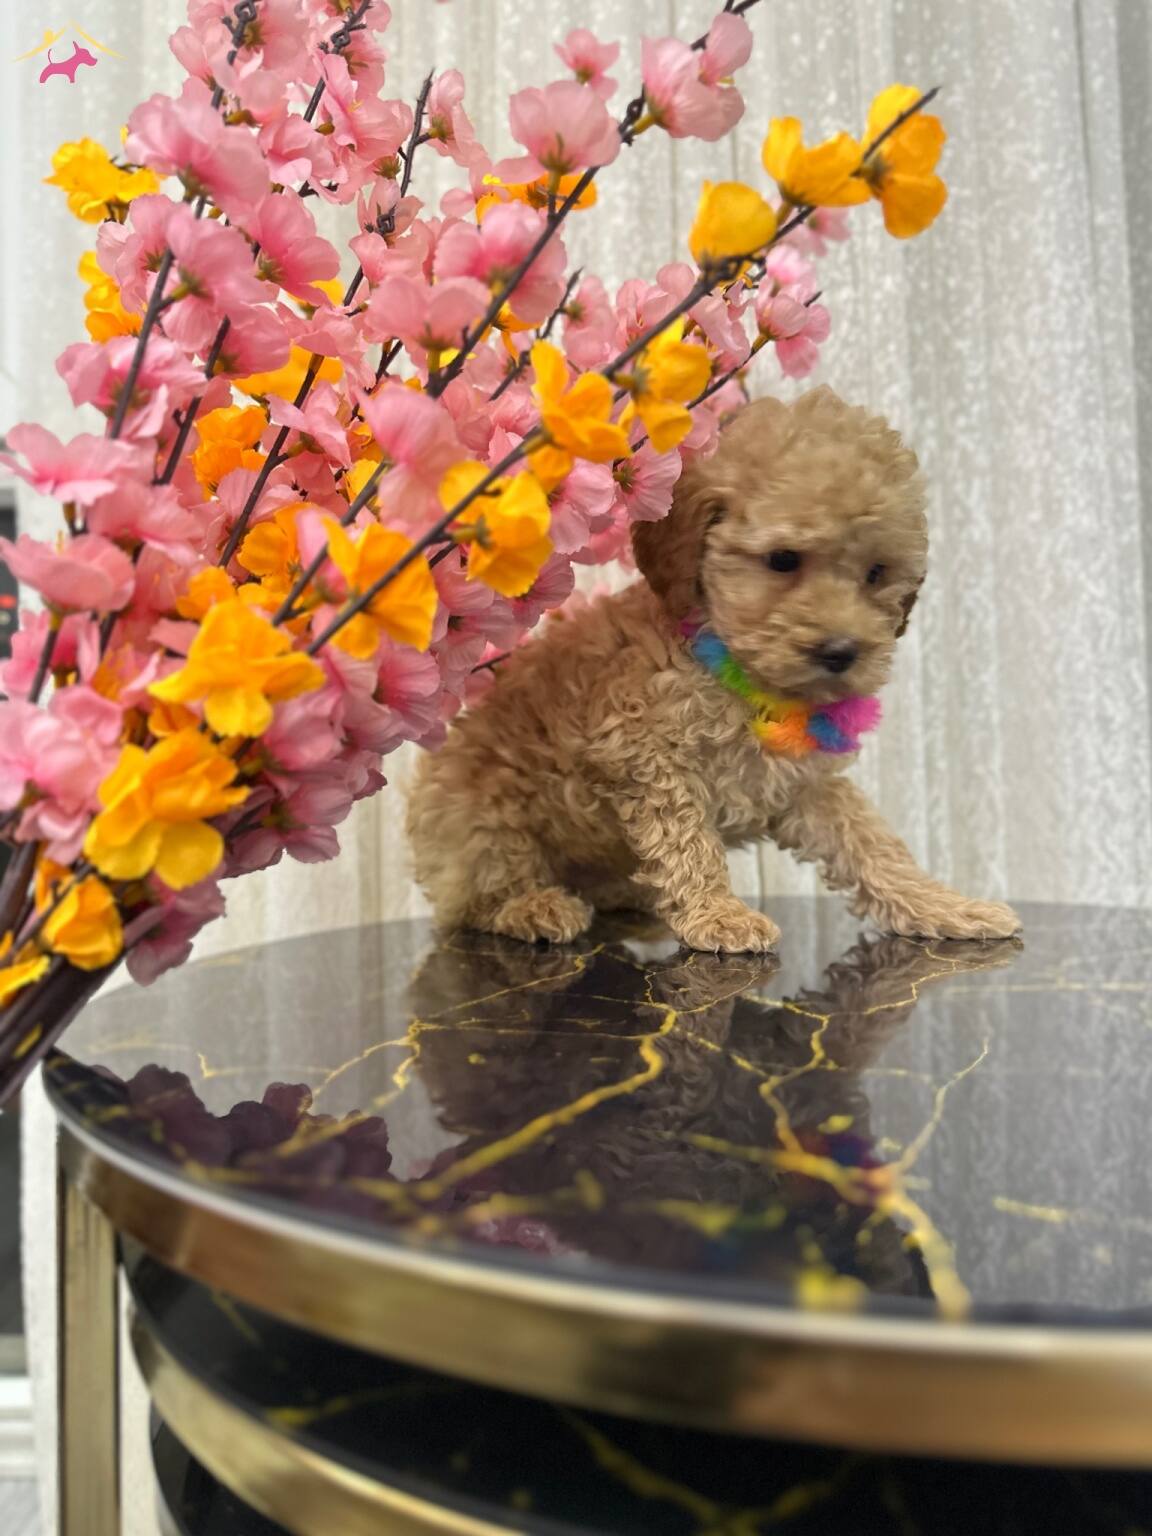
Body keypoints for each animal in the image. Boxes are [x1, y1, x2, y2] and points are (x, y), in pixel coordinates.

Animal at [408, 386, 1020, 952]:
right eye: (783, 560)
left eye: (876, 573)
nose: (841, 652)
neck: (743, 675)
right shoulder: (641, 752)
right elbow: (685, 838)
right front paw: (717, 914)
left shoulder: (804, 785)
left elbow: (870, 841)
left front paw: (945, 906)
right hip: (481, 821)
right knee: (474, 898)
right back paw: (533, 906)